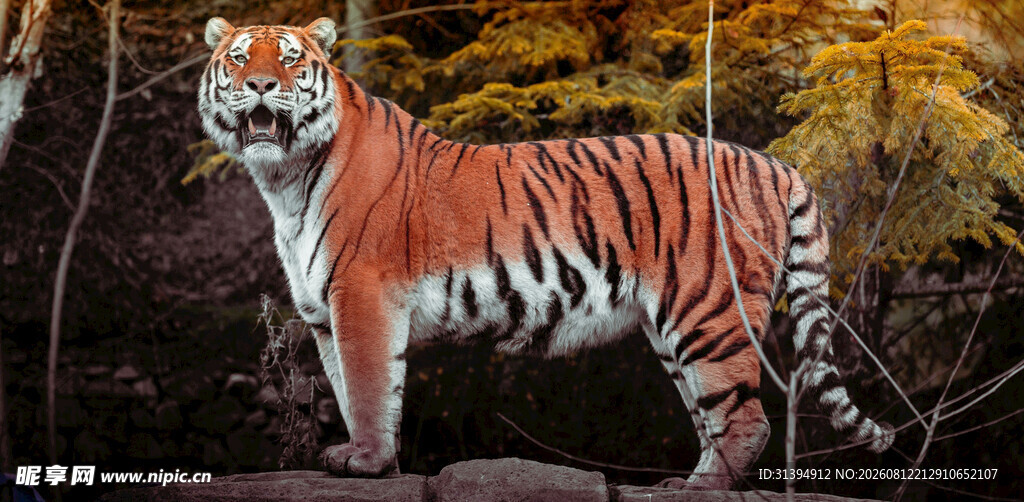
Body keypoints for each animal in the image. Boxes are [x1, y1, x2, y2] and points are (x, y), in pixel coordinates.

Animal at [198, 17, 894, 490]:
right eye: (239, 57)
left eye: (290, 59)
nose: (259, 84)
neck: (285, 178)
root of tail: (776, 163)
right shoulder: (323, 311)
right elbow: (347, 389)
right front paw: (372, 462)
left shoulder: (361, 293)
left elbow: (368, 388)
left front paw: (366, 462)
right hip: (673, 329)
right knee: (715, 415)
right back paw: (685, 481)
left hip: (710, 310)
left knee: (748, 418)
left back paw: (701, 490)